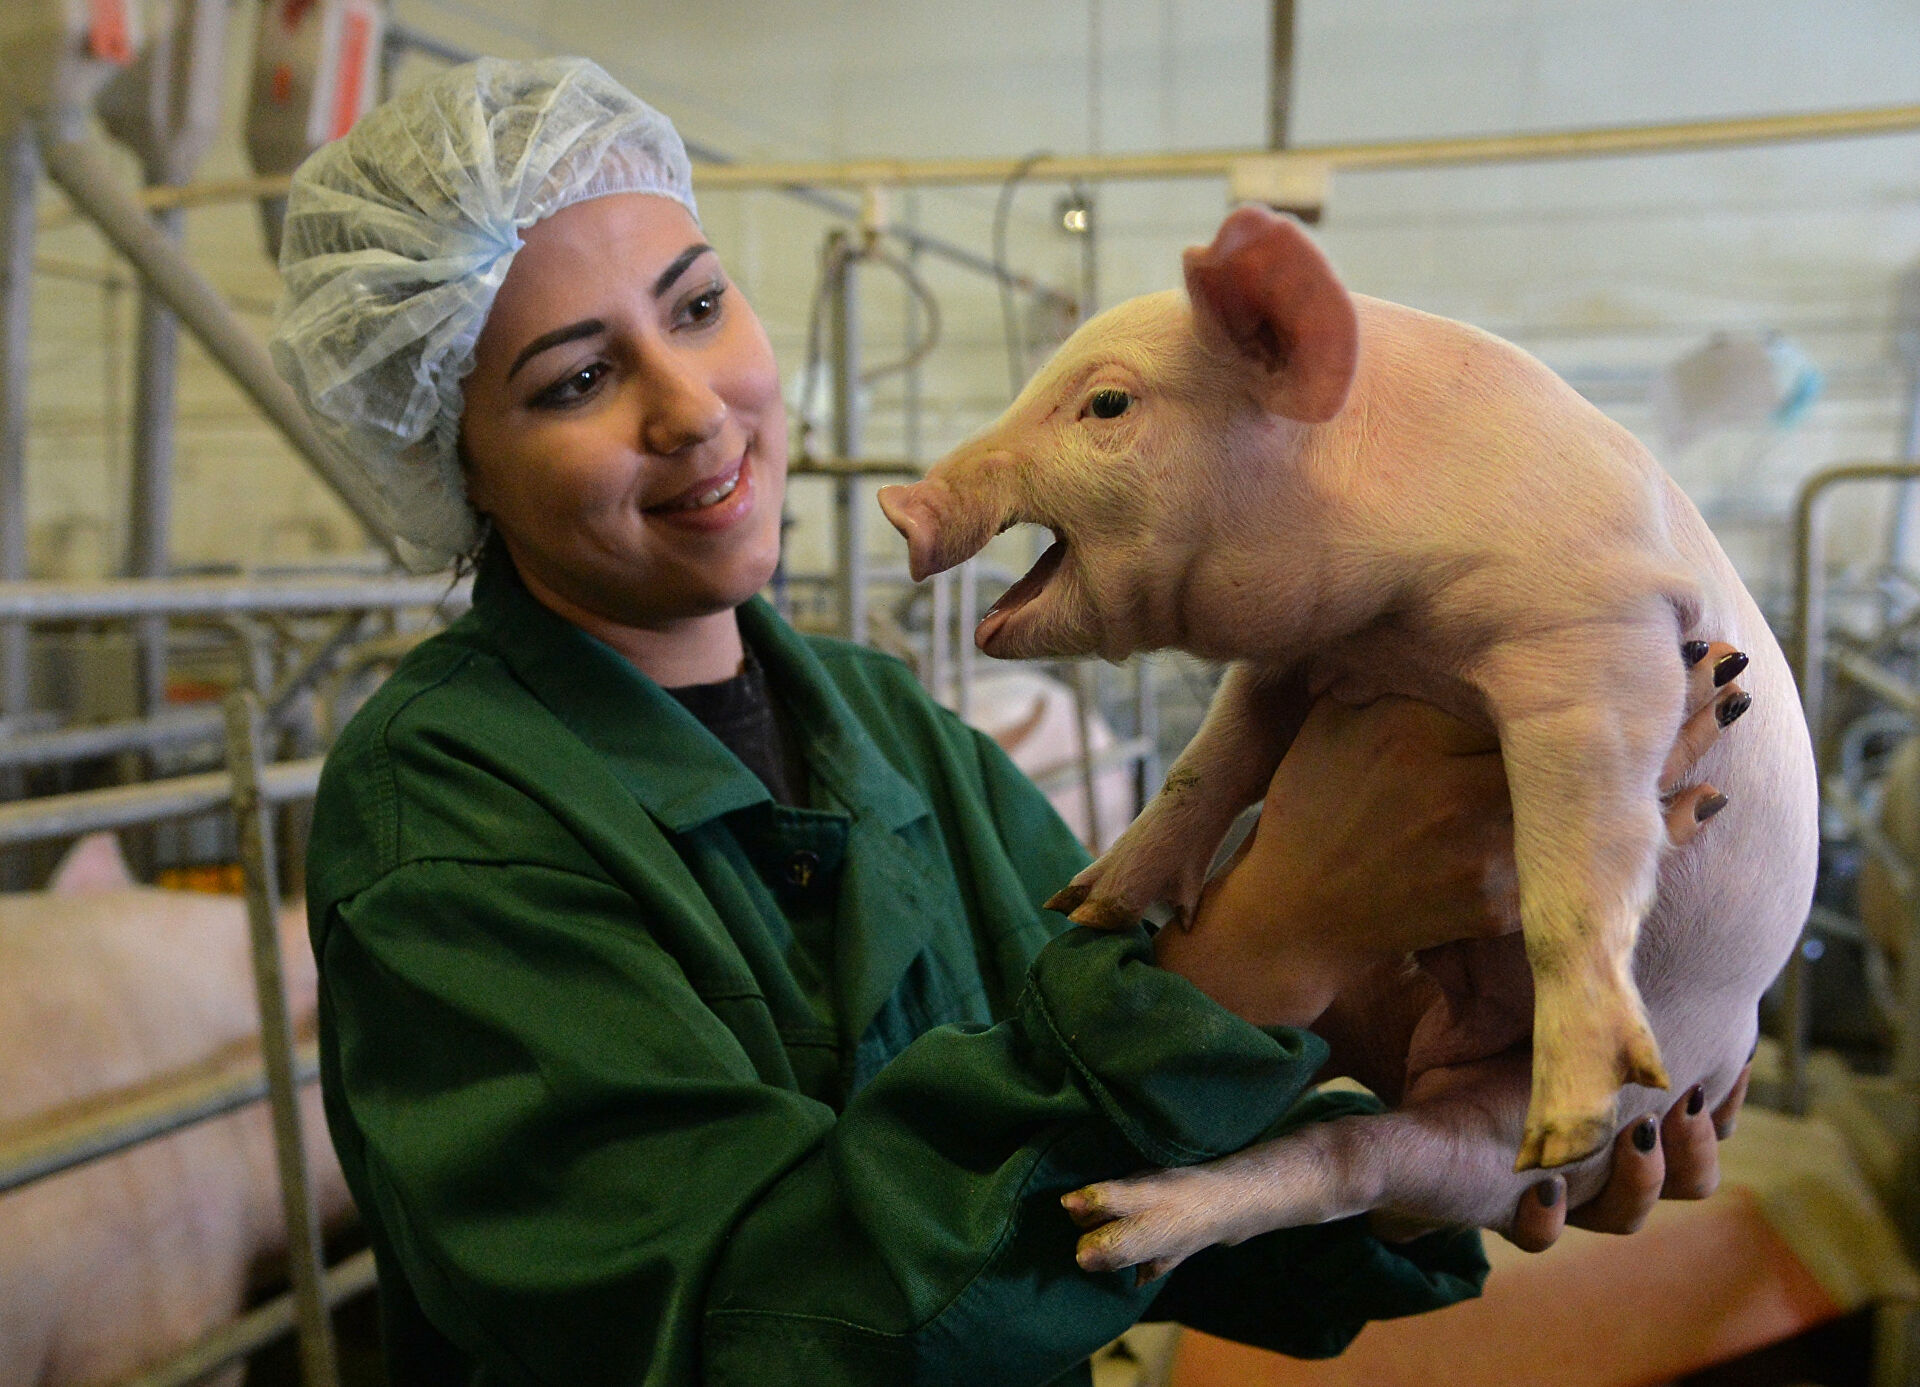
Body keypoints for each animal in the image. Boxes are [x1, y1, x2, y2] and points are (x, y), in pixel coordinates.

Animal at [879, 202, 1812, 1267]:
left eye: (1107, 404)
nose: (900, 503)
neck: (1392, 628)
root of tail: (1419, 1049)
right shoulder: (1297, 654)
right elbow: (1211, 762)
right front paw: (1089, 903)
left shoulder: (1599, 637)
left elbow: (1575, 860)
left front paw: (1567, 1115)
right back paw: (1109, 1224)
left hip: (1556, 1122)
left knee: (1365, 1162)